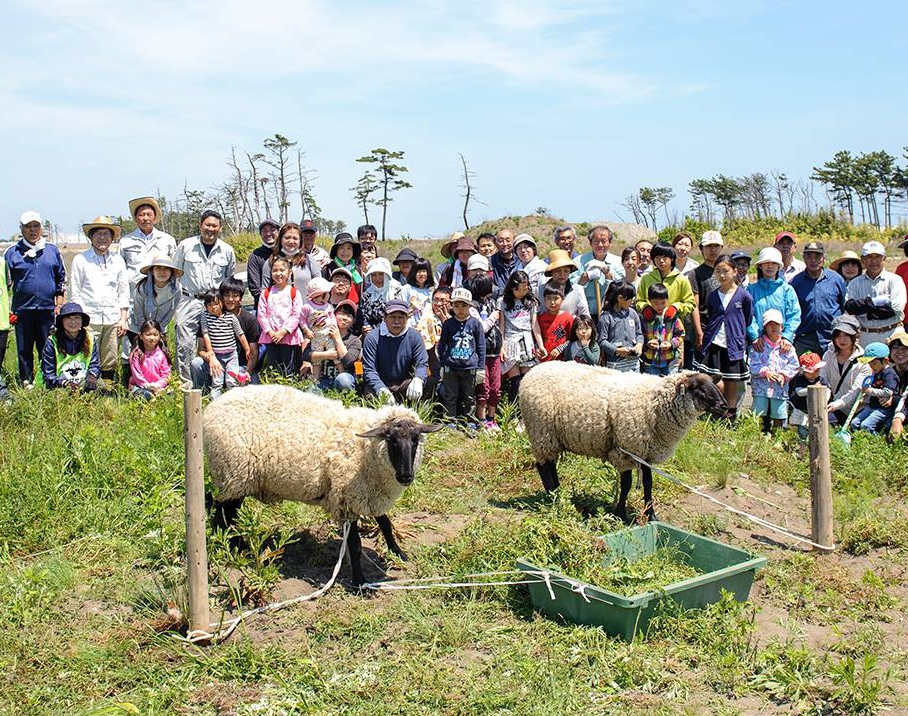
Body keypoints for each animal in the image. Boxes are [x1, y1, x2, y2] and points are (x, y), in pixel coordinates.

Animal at [207, 386, 446, 588]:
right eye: (391, 439)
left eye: (415, 439)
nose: (406, 476)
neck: (363, 449)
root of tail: (211, 408)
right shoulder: (347, 500)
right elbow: (355, 544)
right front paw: (359, 582)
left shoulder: (370, 494)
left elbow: (386, 524)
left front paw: (399, 553)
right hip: (233, 475)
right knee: (223, 513)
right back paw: (235, 547)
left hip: (236, 479)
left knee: (226, 512)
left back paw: (238, 545)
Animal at [520, 364, 728, 520]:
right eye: (697, 387)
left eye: (714, 384)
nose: (724, 406)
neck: (654, 402)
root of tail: (531, 372)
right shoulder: (626, 450)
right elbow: (626, 484)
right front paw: (621, 514)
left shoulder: (646, 453)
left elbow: (648, 483)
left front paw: (651, 515)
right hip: (541, 432)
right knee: (544, 467)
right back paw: (553, 498)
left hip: (551, 437)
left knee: (551, 465)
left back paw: (559, 492)